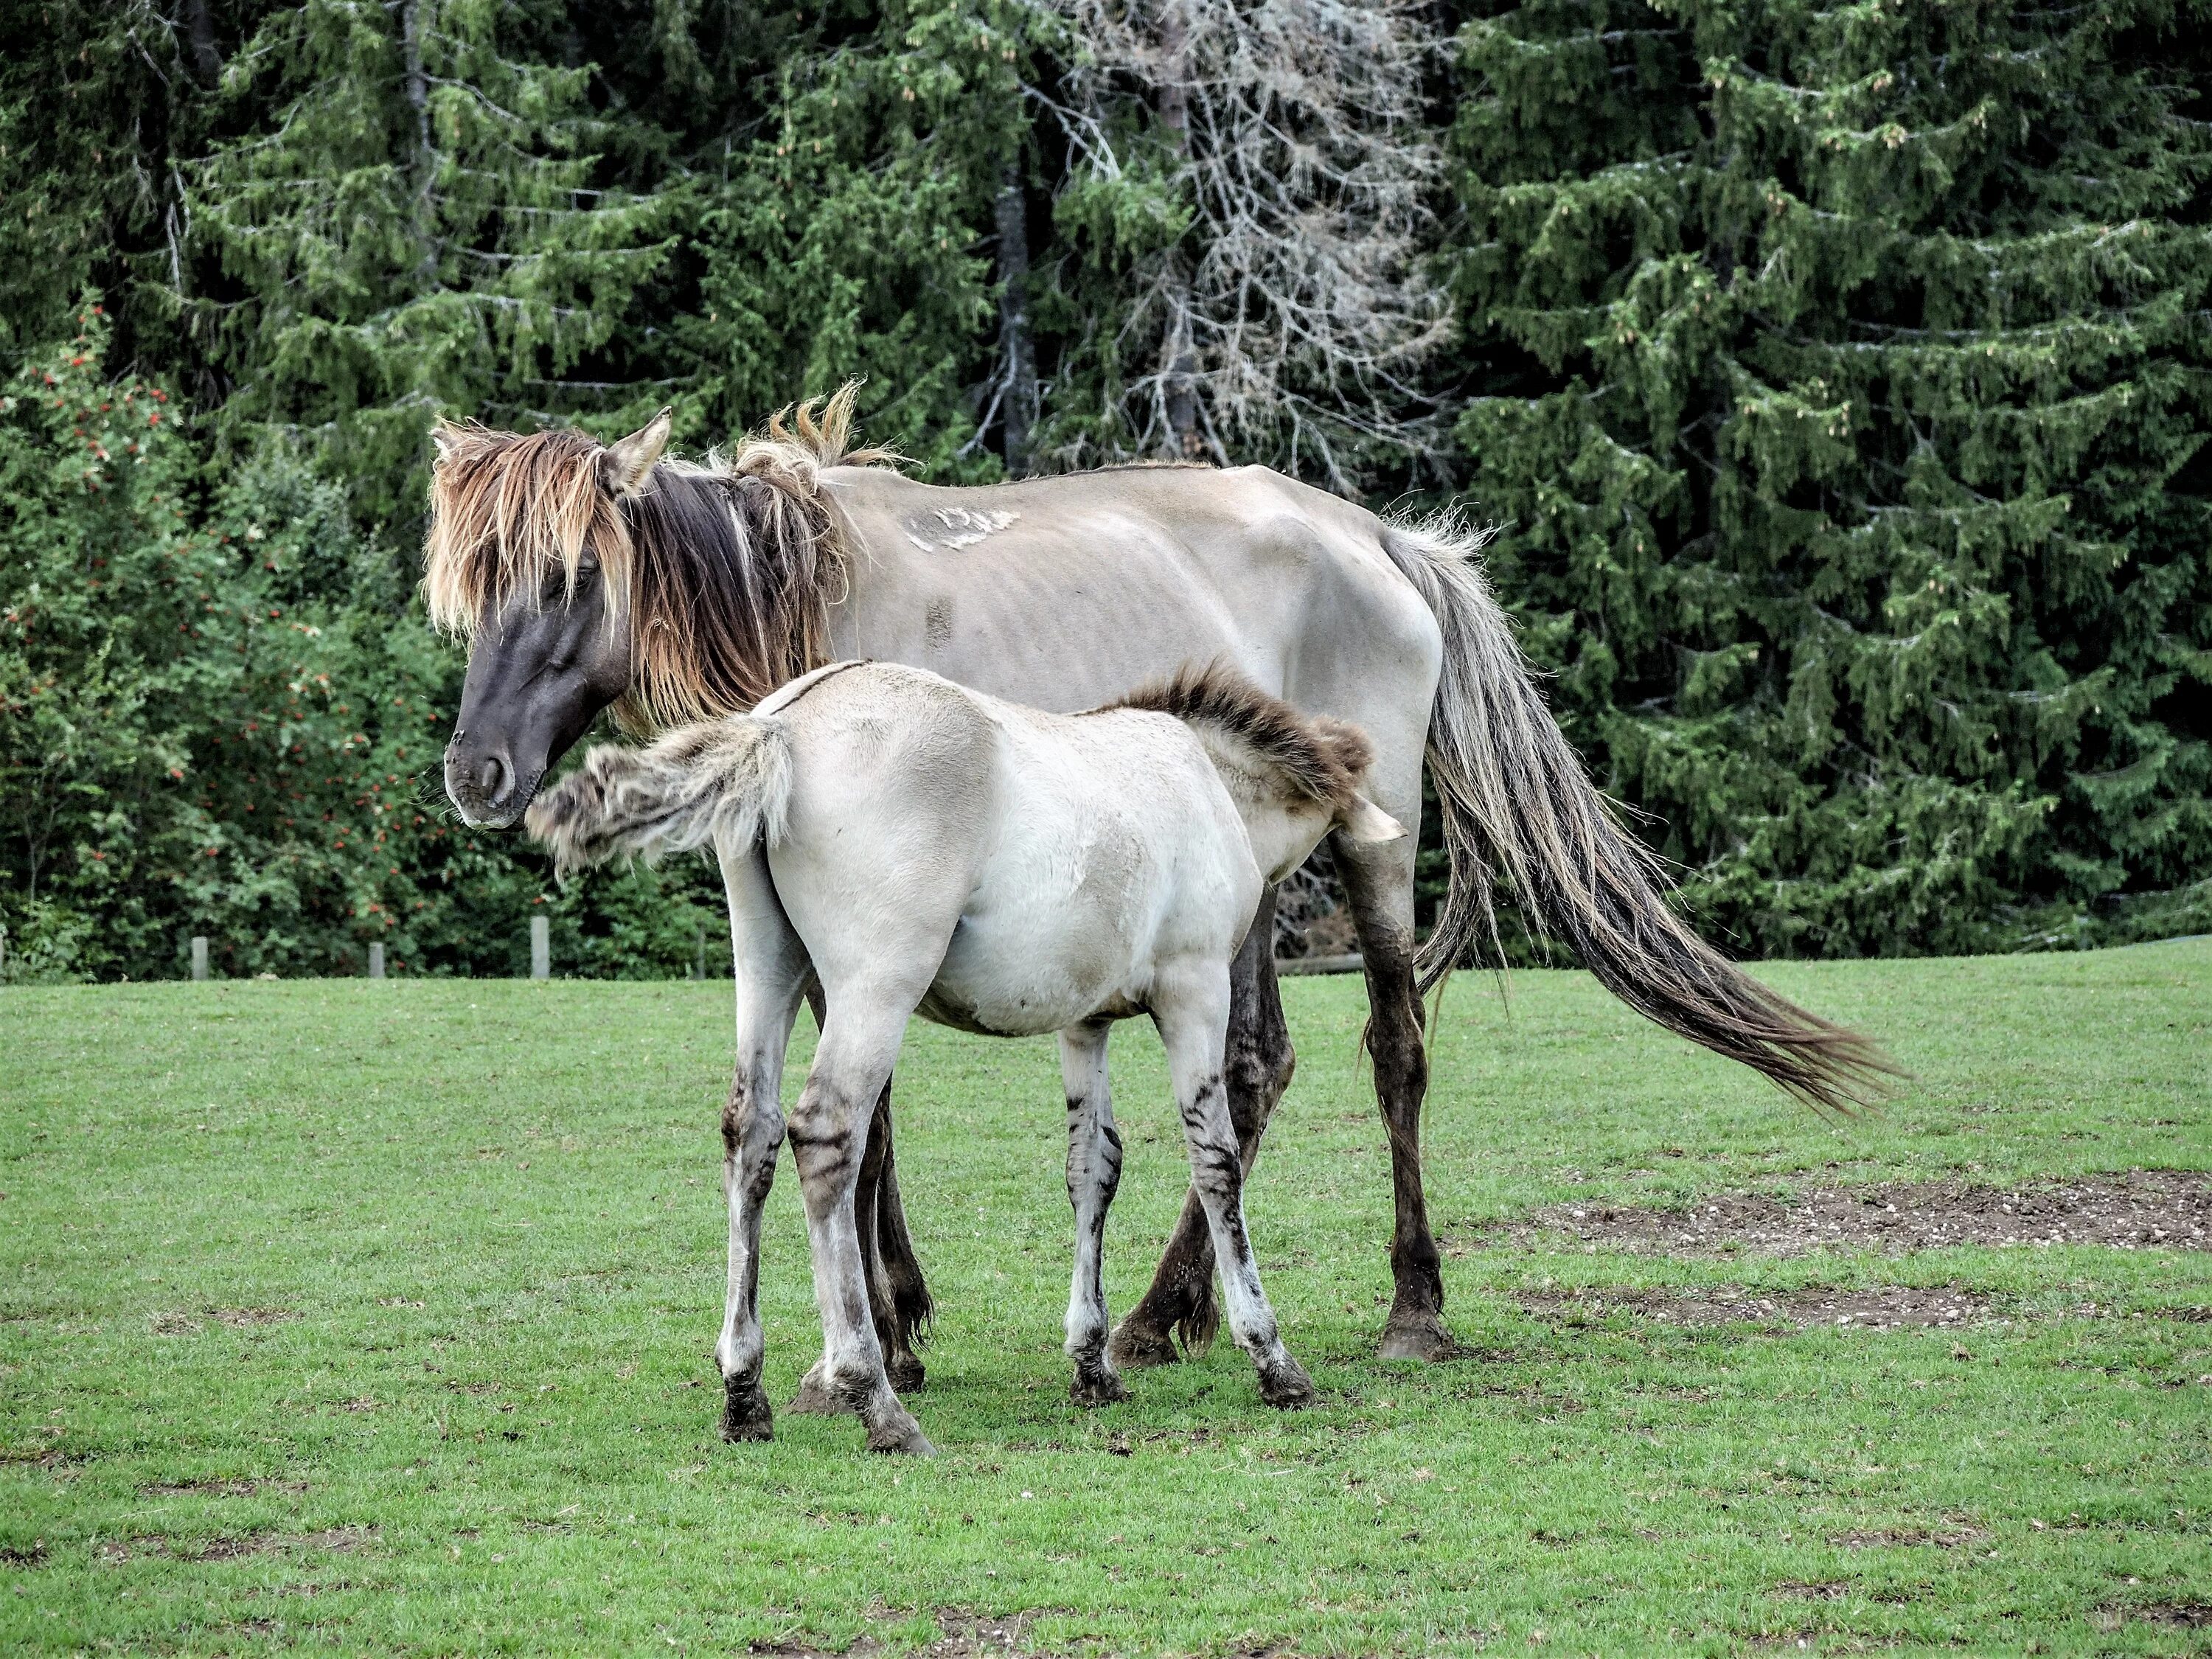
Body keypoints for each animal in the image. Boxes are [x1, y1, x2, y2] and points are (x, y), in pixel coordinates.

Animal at [526, 664, 1398, 1451]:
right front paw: (1272, 1358)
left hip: (770, 968)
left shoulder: (1085, 1023)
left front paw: (1092, 1365)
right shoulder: (1194, 992)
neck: (1198, 775)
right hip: (877, 985)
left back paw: (745, 1394)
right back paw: (874, 1397)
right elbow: (1214, 1161)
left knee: (753, 1134)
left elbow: (1094, 1169)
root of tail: (784, 726)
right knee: (826, 1135)